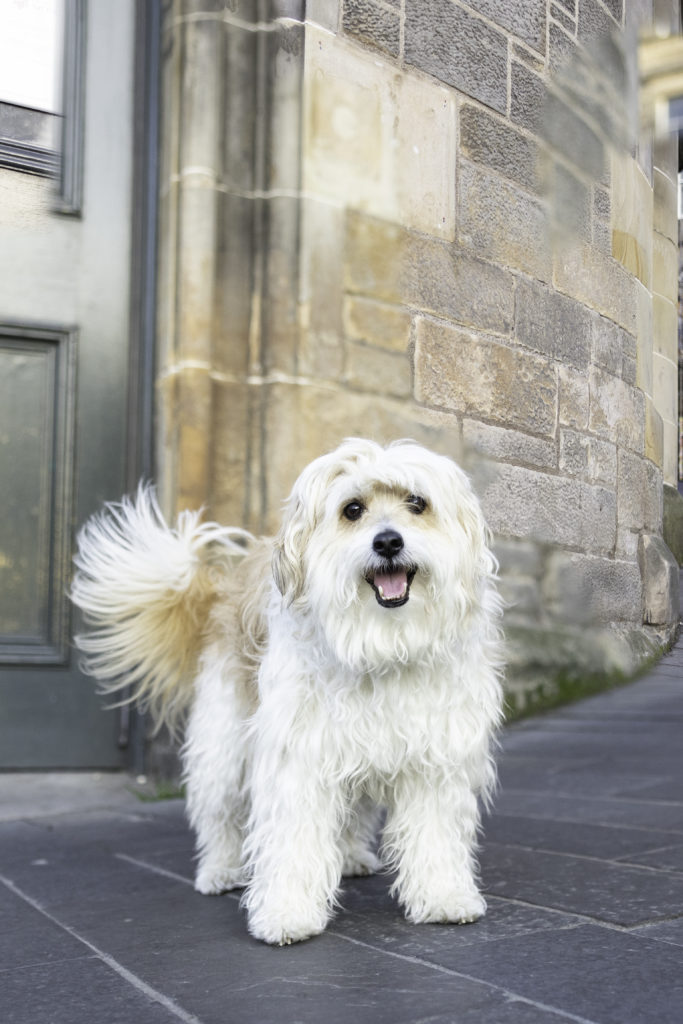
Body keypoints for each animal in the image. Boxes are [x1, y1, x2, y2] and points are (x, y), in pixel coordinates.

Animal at [72, 438, 505, 942]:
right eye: (352, 509)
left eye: (417, 503)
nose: (388, 542)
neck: (379, 642)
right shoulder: (300, 756)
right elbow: (292, 839)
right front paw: (286, 912)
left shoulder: (435, 759)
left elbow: (434, 835)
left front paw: (443, 897)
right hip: (224, 743)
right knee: (220, 815)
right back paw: (220, 870)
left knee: (351, 814)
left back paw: (350, 857)